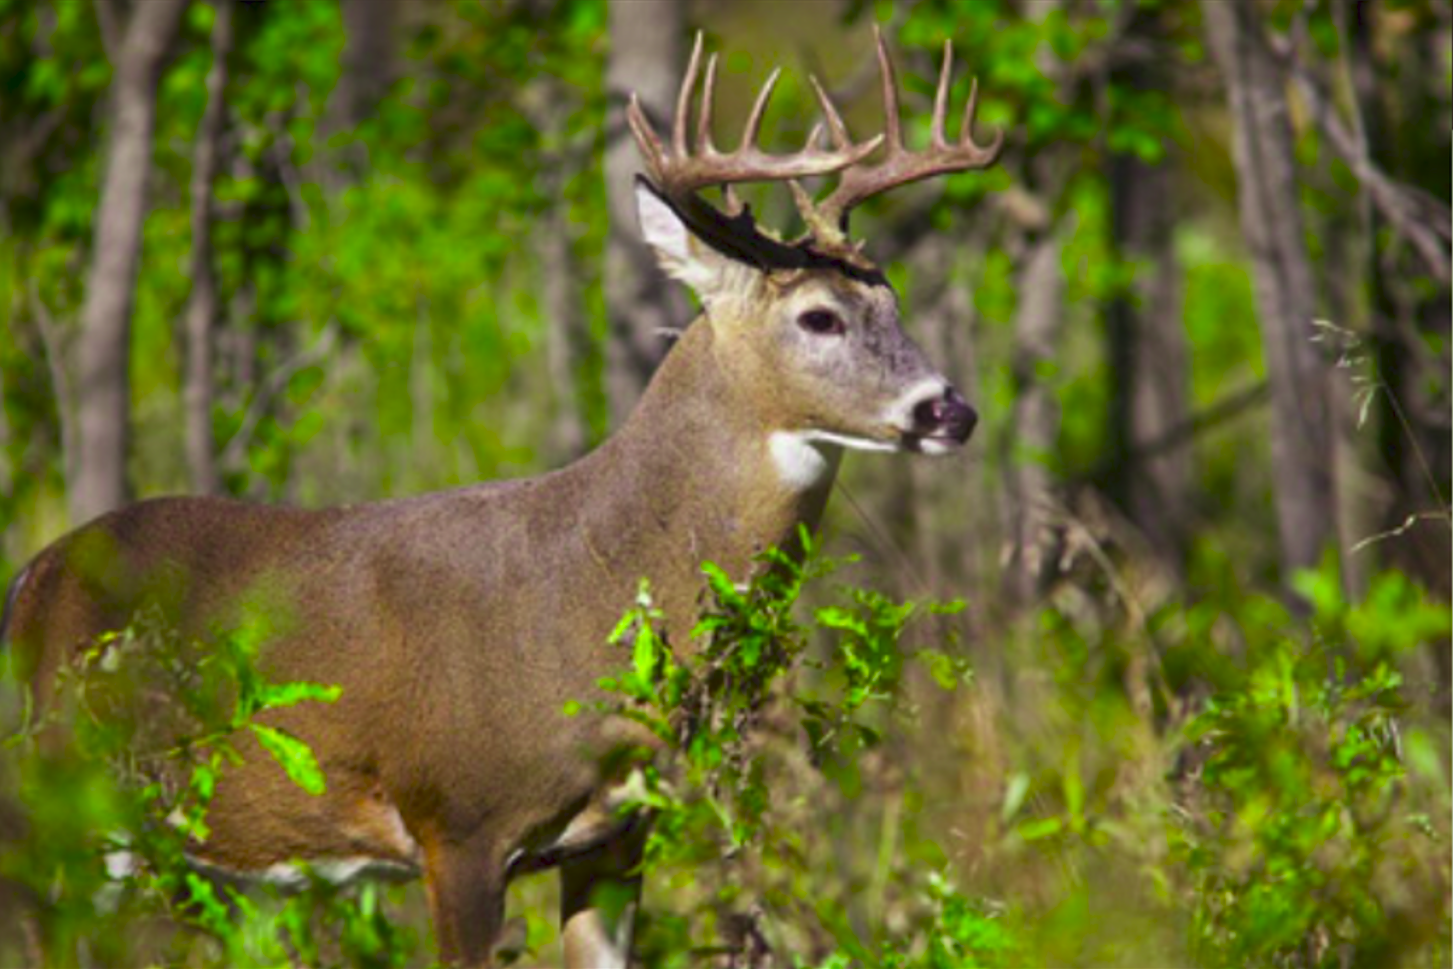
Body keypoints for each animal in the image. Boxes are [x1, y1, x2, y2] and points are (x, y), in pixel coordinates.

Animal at [1, 29, 1001, 968]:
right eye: (818, 317)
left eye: (893, 303)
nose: (951, 409)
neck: (590, 583)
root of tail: (32, 576)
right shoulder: (458, 820)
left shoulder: (615, 836)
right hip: (67, 795)